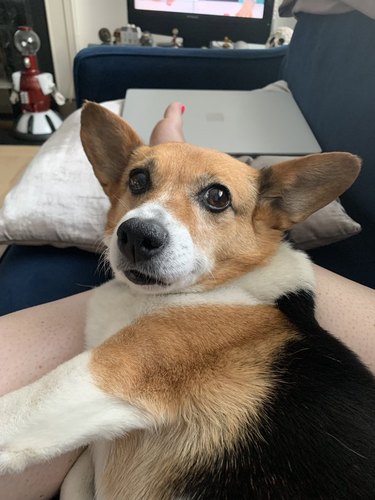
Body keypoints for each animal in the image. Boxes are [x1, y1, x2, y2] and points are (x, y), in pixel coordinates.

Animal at [0, 102, 375, 500]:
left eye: (218, 197)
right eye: (137, 179)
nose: (136, 235)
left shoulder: (105, 373)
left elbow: (21, 408)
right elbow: (77, 475)